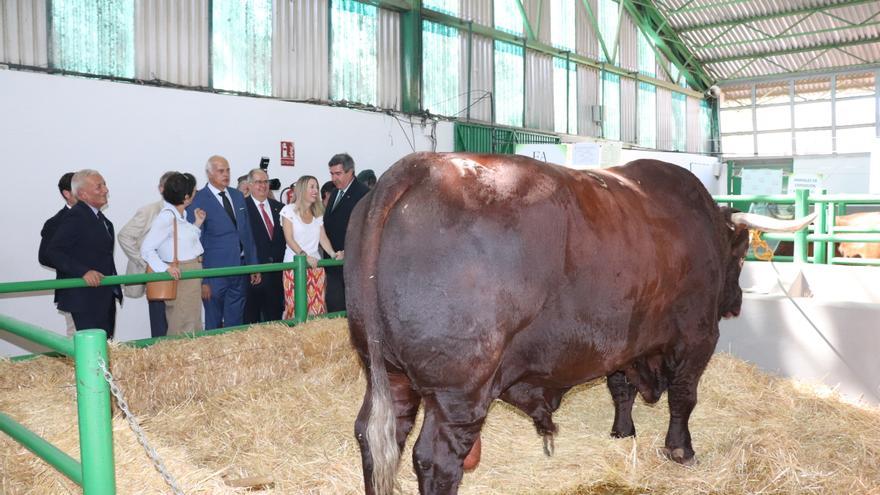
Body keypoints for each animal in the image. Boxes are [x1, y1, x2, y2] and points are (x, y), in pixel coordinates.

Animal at [346, 153, 820, 494]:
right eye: (739, 257)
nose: (736, 302)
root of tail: (421, 166)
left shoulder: (623, 338)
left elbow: (621, 387)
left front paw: (622, 431)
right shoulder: (697, 336)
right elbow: (685, 398)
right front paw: (681, 450)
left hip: (389, 371)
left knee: (378, 437)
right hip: (459, 387)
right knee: (437, 458)